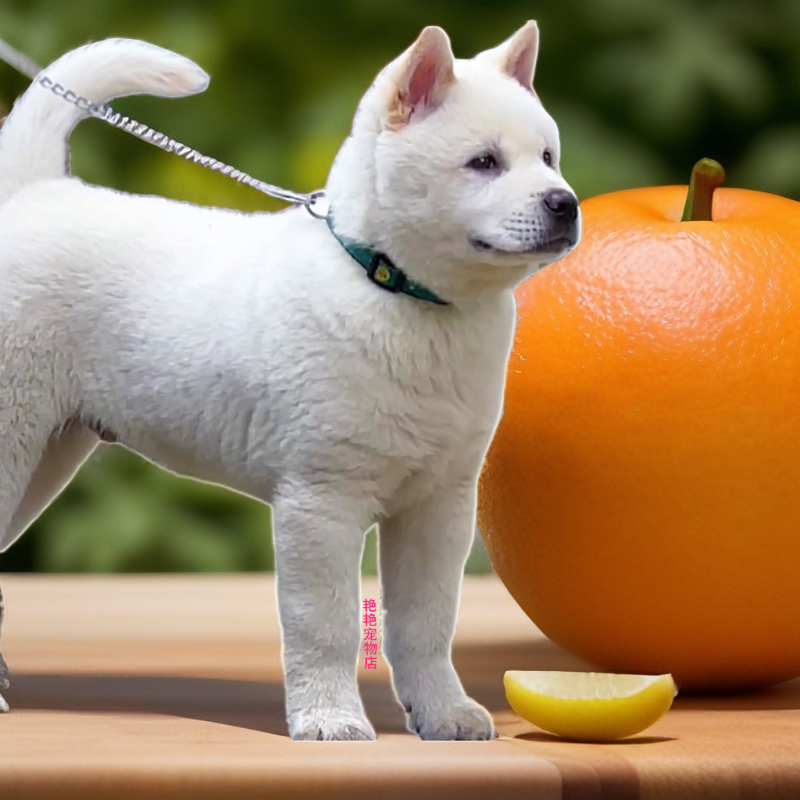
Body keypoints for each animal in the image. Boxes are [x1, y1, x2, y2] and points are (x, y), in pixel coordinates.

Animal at [0, 21, 580, 740]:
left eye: (548, 156)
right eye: (484, 163)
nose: (565, 203)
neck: (393, 288)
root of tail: (32, 192)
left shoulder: (439, 507)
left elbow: (427, 623)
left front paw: (445, 714)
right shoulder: (320, 502)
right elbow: (325, 624)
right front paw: (330, 721)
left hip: (46, 459)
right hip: (13, 446)